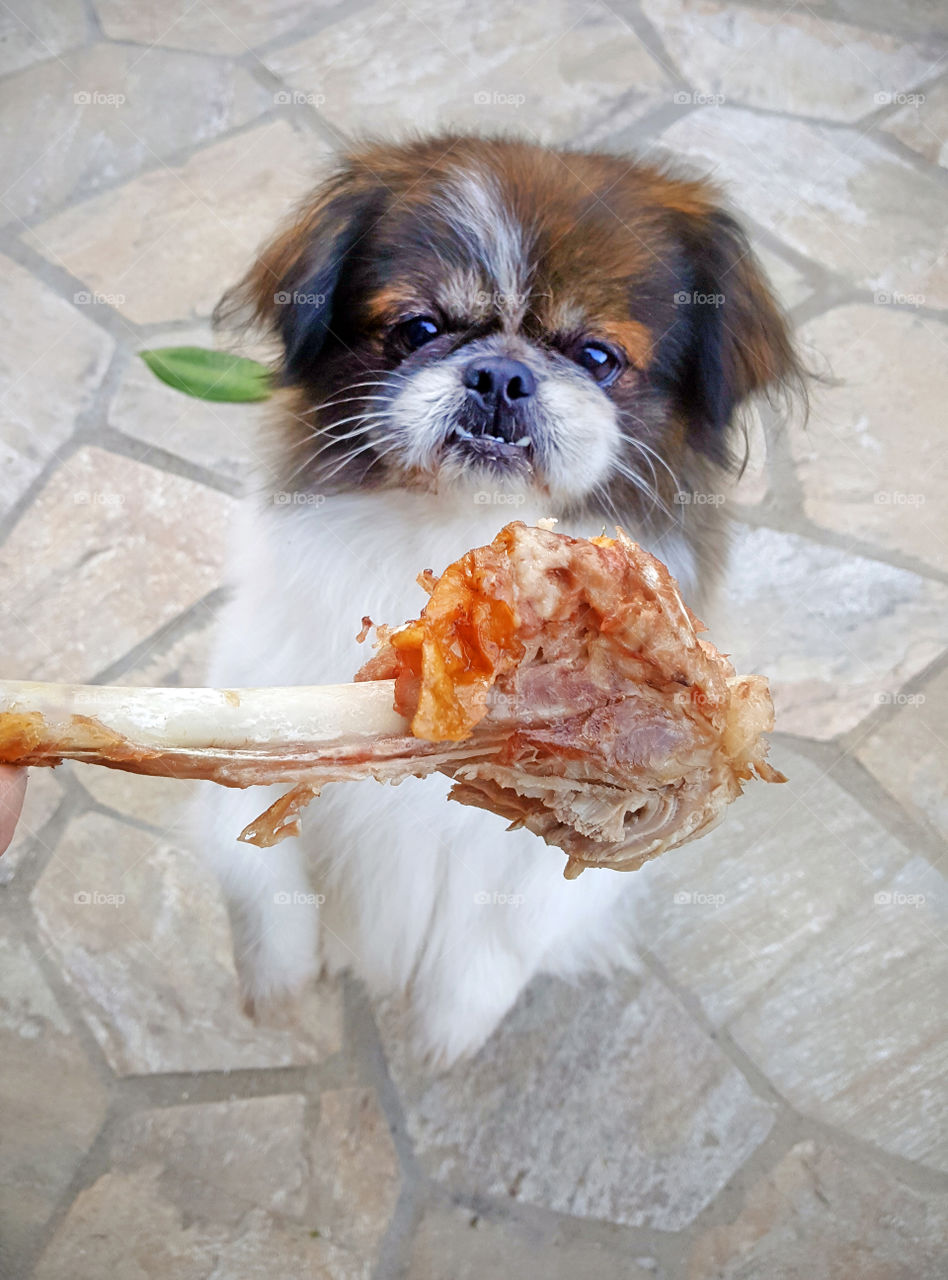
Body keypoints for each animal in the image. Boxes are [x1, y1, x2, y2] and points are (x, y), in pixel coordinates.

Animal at [195, 135, 803, 1064]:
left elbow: (501, 933)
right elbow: (257, 869)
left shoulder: (559, 856)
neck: (455, 529)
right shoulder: (255, 701)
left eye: (596, 357)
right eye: (419, 329)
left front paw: (446, 1034)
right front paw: (282, 988)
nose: (501, 374)